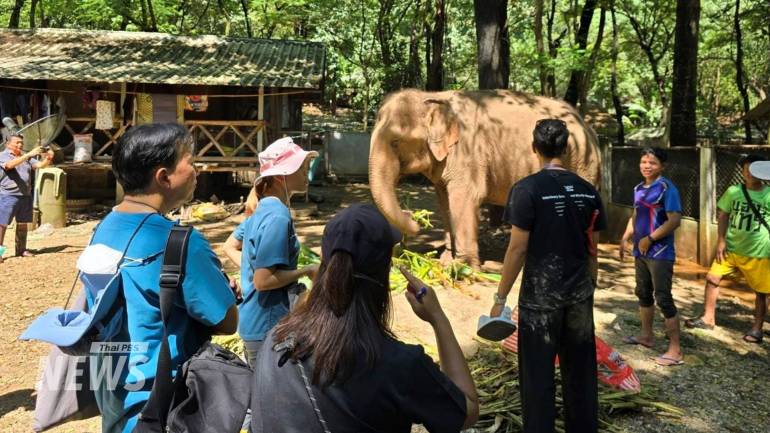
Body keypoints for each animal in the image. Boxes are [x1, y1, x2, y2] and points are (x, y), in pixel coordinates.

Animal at [366, 88, 600, 266]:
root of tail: (587, 125)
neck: (433, 96)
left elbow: (464, 198)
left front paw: (463, 268)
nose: (414, 219)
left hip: (584, 164)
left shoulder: (468, 152)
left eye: (396, 142)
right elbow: (444, 201)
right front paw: (446, 261)